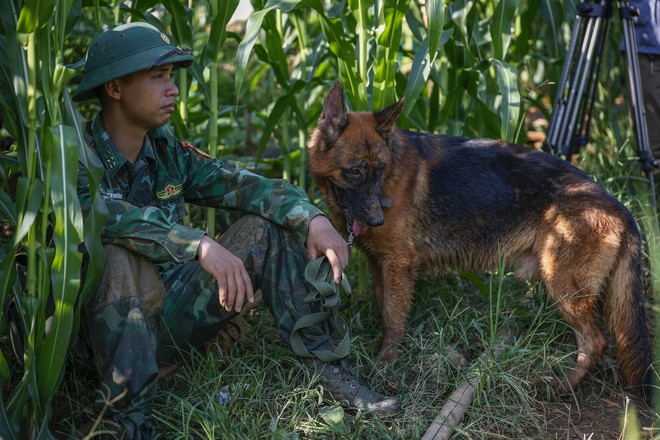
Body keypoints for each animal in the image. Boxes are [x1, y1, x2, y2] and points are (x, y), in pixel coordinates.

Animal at [308, 81, 648, 394]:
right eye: (355, 171)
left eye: (379, 170)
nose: (378, 218)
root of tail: (621, 210)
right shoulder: (381, 266)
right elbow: (384, 308)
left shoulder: (397, 265)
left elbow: (393, 318)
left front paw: (386, 364)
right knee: (592, 342)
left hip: (563, 286)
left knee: (596, 342)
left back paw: (563, 386)